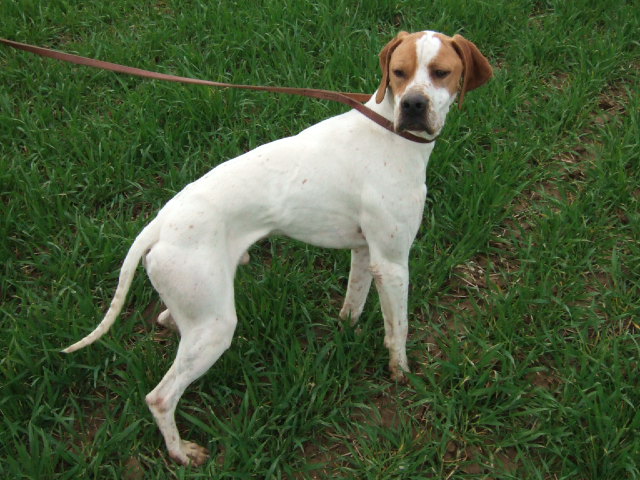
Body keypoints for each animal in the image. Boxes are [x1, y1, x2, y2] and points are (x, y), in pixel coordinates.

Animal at [63, 30, 490, 464]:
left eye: (440, 72)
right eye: (399, 73)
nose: (413, 105)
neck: (388, 130)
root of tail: (158, 226)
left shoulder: (366, 253)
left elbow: (352, 304)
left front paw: (345, 332)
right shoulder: (393, 262)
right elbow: (398, 329)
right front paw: (400, 373)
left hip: (202, 312)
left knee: (169, 320)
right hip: (216, 327)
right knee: (160, 397)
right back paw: (181, 452)